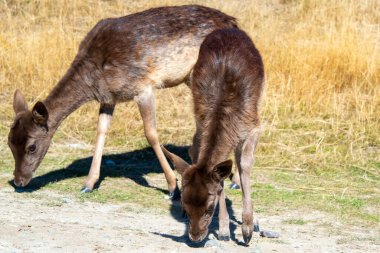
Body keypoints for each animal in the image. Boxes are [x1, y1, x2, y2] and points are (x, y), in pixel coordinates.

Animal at [6, 4, 238, 198]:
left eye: (32, 147)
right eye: (9, 142)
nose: (18, 181)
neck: (93, 76)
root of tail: (233, 22)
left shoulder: (143, 87)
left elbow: (151, 134)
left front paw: (173, 186)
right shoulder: (109, 97)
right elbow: (100, 131)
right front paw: (88, 183)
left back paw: (231, 178)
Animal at [161, 28, 264, 245]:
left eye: (209, 208)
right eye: (185, 205)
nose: (195, 236)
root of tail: (228, 29)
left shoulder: (253, 126)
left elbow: (246, 165)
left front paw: (247, 230)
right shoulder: (201, 121)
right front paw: (224, 231)